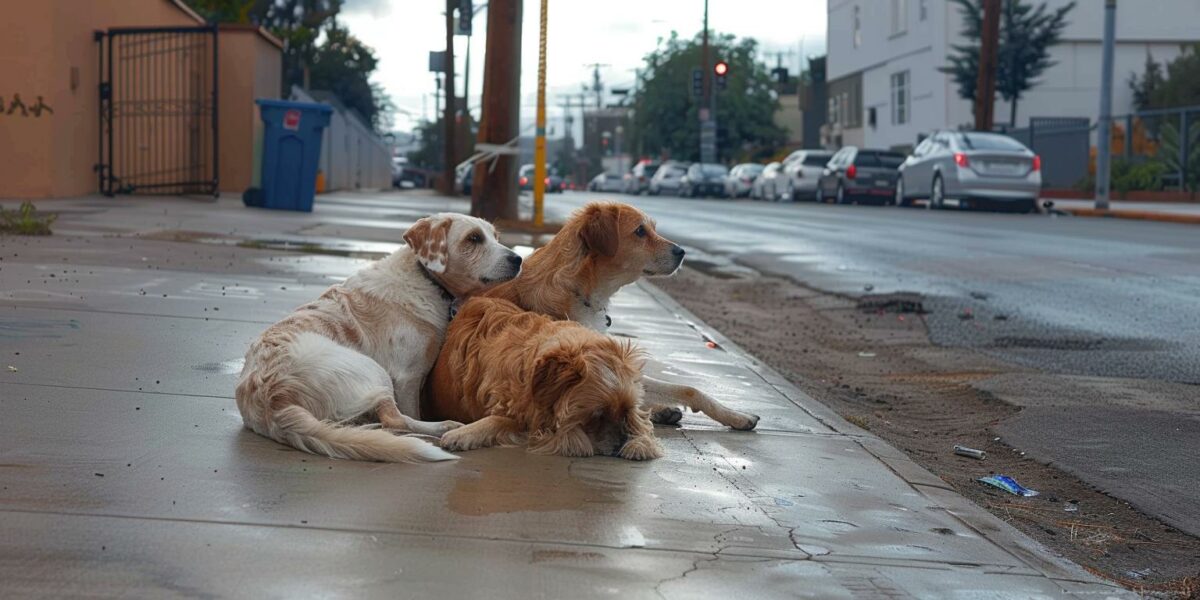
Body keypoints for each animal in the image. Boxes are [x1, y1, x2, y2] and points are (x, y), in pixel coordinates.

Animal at [234, 213, 520, 460]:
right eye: (474, 238)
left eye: (496, 236)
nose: (518, 259)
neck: (426, 279)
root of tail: (272, 400)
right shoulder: (407, 377)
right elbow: (410, 411)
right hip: (373, 370)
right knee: (394, 419)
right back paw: (441, 428)